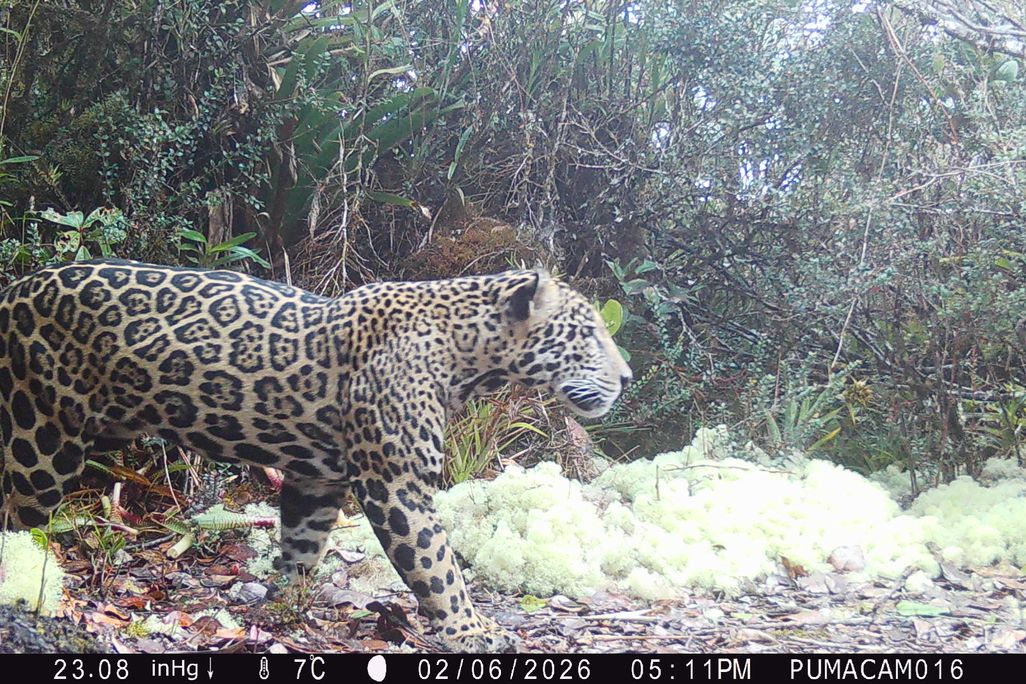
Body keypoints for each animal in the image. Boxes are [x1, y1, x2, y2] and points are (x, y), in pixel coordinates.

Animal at [0, 259, 631, 651]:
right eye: (588, 334)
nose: (627, 378)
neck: (466, 356)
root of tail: (13, 288)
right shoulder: (397, 483)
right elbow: (439, 567)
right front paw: (471, 630)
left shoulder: (317, 479)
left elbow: (302, 544)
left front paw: (286, 606)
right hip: (42, 437)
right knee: (18, 509)